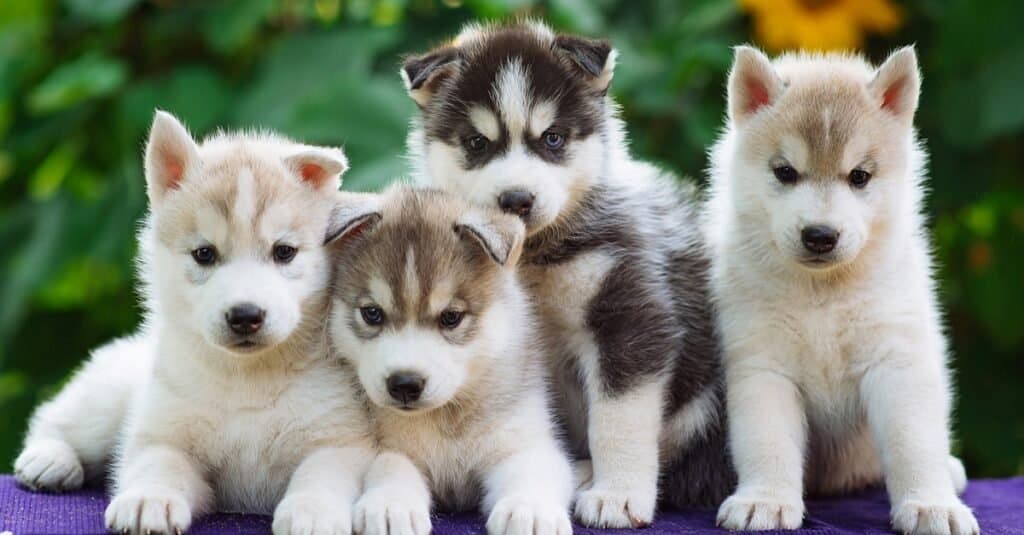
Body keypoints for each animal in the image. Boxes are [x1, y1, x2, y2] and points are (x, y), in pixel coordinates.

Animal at [14, 110, 382, 528]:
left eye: (284, 252)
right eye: (204, 253)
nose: (245, 315)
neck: (248, 378)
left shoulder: (338, 440)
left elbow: (321, 475)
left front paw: (313, 512)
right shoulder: (164, 434)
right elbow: (160, 465)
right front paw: (149, 499)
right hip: (105, 400)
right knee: (54, 417)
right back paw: (49, 458)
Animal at [325, 185, 573, 532]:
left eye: (451, 317)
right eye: (372, 314)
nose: (404, 383)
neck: (447, 420)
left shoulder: (524, 442)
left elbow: (533, 470)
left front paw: (529, 510)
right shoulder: (387, 446)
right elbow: (391, 465)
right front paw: (390, 505)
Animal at [399, 21, 737, 524]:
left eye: (553, 138)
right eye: (478, 143)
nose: (517, 199)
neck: (531, 256)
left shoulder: (629, 316)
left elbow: (618, 421)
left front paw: (618, 494)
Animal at [708, 46, 978, 532]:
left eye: (859, 177)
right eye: (785, 172)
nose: (820, 235)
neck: (823, 294)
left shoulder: (896, 360)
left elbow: (913, 443)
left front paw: (931, 506)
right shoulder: (762, 366)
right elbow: (767, 442)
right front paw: (764, 501)